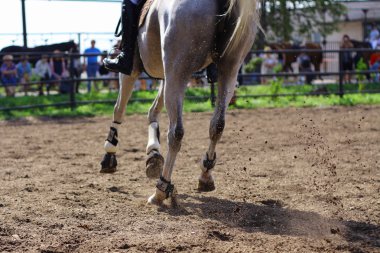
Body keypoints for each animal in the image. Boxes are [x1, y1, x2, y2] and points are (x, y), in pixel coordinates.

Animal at [99, 0, 258, 206]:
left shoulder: (132, 70)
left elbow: (119, 109)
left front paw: (110, 153)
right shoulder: (165, 74)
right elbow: (153, 111)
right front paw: (153, 154)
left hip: (178, 72)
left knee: (176, 133)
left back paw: (161, 190)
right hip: (228, 72)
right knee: (217, 125)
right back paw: (205, 175)